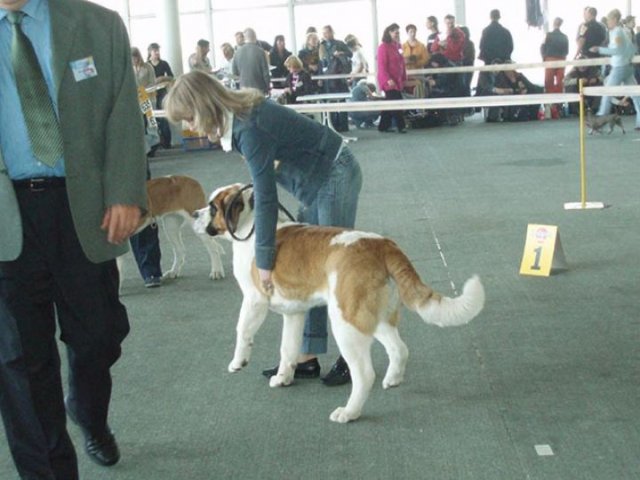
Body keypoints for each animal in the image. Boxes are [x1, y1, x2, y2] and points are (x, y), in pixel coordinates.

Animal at [192, 184, 482, 424]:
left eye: (212, 207)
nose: (194, 214)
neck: (250, 227)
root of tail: (380, 243)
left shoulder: (254, 300)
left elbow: (242, 330)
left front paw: (238, 362)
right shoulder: (295, 313)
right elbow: (288, 348)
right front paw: (284, 377)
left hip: (345, 321)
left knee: (364, 374)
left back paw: (349, 412)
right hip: (368, 315)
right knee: (399, 349)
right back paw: (393, 379)